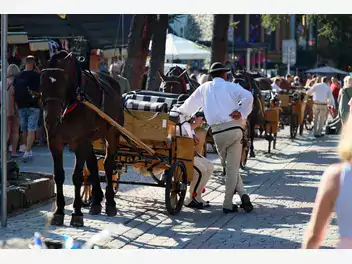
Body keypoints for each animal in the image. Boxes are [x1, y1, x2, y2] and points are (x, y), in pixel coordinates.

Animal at [38, 50, 123, 227]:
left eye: (62, 83)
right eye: (42, 81)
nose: (50, 118)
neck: (73, 102)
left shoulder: (80, 142)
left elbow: (77, 177)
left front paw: (76, 213)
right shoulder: (55, 142)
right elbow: (59, 175)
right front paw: (59, 211)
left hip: (112, 133)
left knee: (108, 165)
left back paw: (110, 202)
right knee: (93, 165)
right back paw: (96, 201)